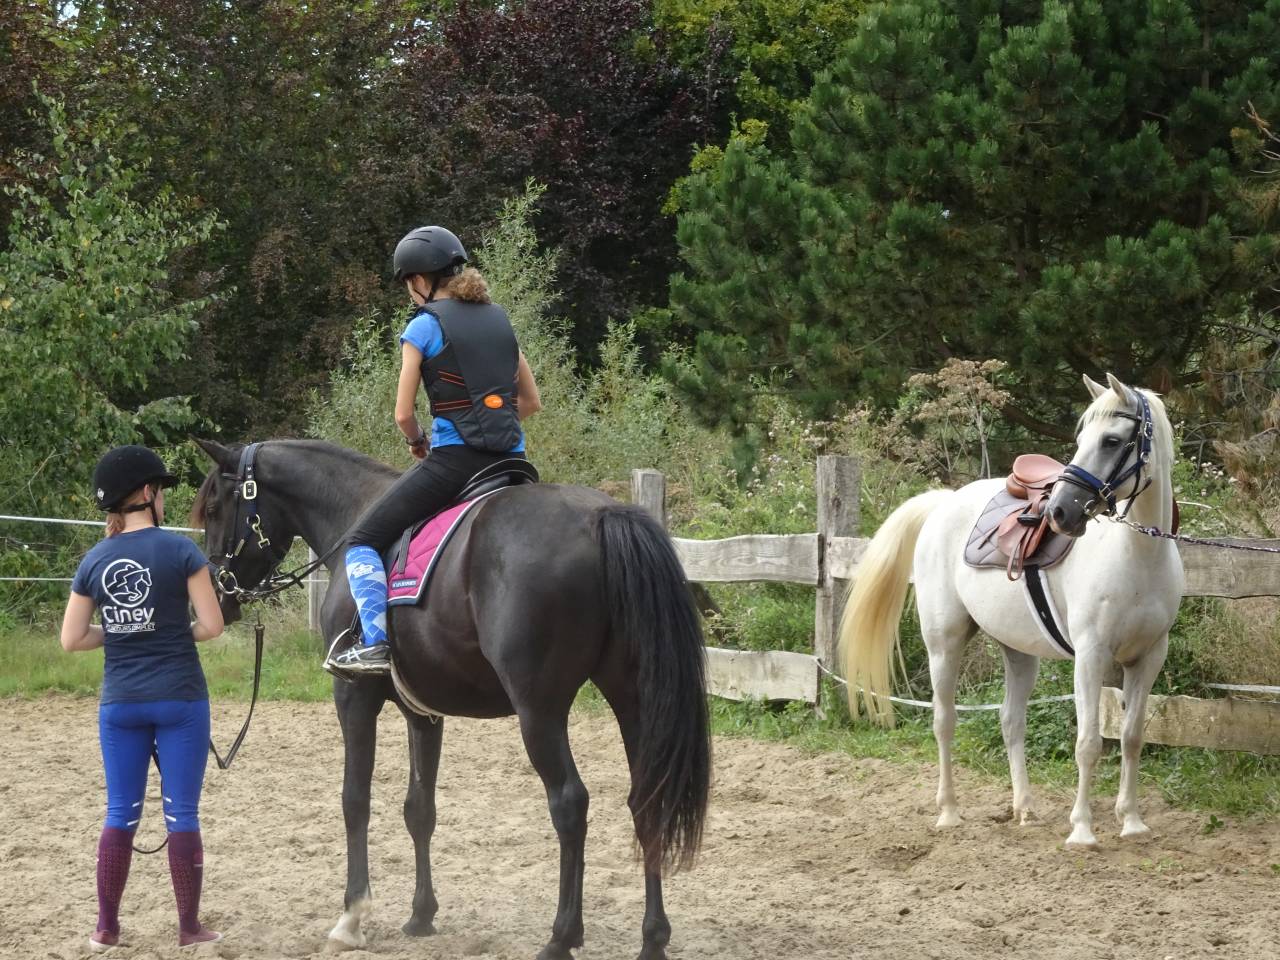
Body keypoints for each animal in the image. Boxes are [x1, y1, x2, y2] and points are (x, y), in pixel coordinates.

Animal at [191, 438, 710, 959]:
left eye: (216, 508)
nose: (217, 596)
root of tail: (602, 515)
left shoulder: (353, 696)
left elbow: (355, 799)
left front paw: (352, 916)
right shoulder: (424, 714)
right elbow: (419, 809)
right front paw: (421, 915)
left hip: (539, 710)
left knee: (569, 802)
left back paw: (562, 936)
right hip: (632, 698)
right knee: (646, 798)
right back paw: (652, 937)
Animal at [838, 374, 1183, 850]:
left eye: (1112, 440)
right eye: (1081, 440)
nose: (1060, 512)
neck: (1137, 556)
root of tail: (944, 503)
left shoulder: (1148, 658)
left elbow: (1132, 737)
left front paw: (1131, 821)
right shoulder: (1091, 657)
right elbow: (1089, 743)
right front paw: (1082, 830)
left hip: (1018, 651)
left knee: (1010, 721)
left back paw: (1024, 808)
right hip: (944, 644)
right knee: (944, 721)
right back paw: (949, 813)